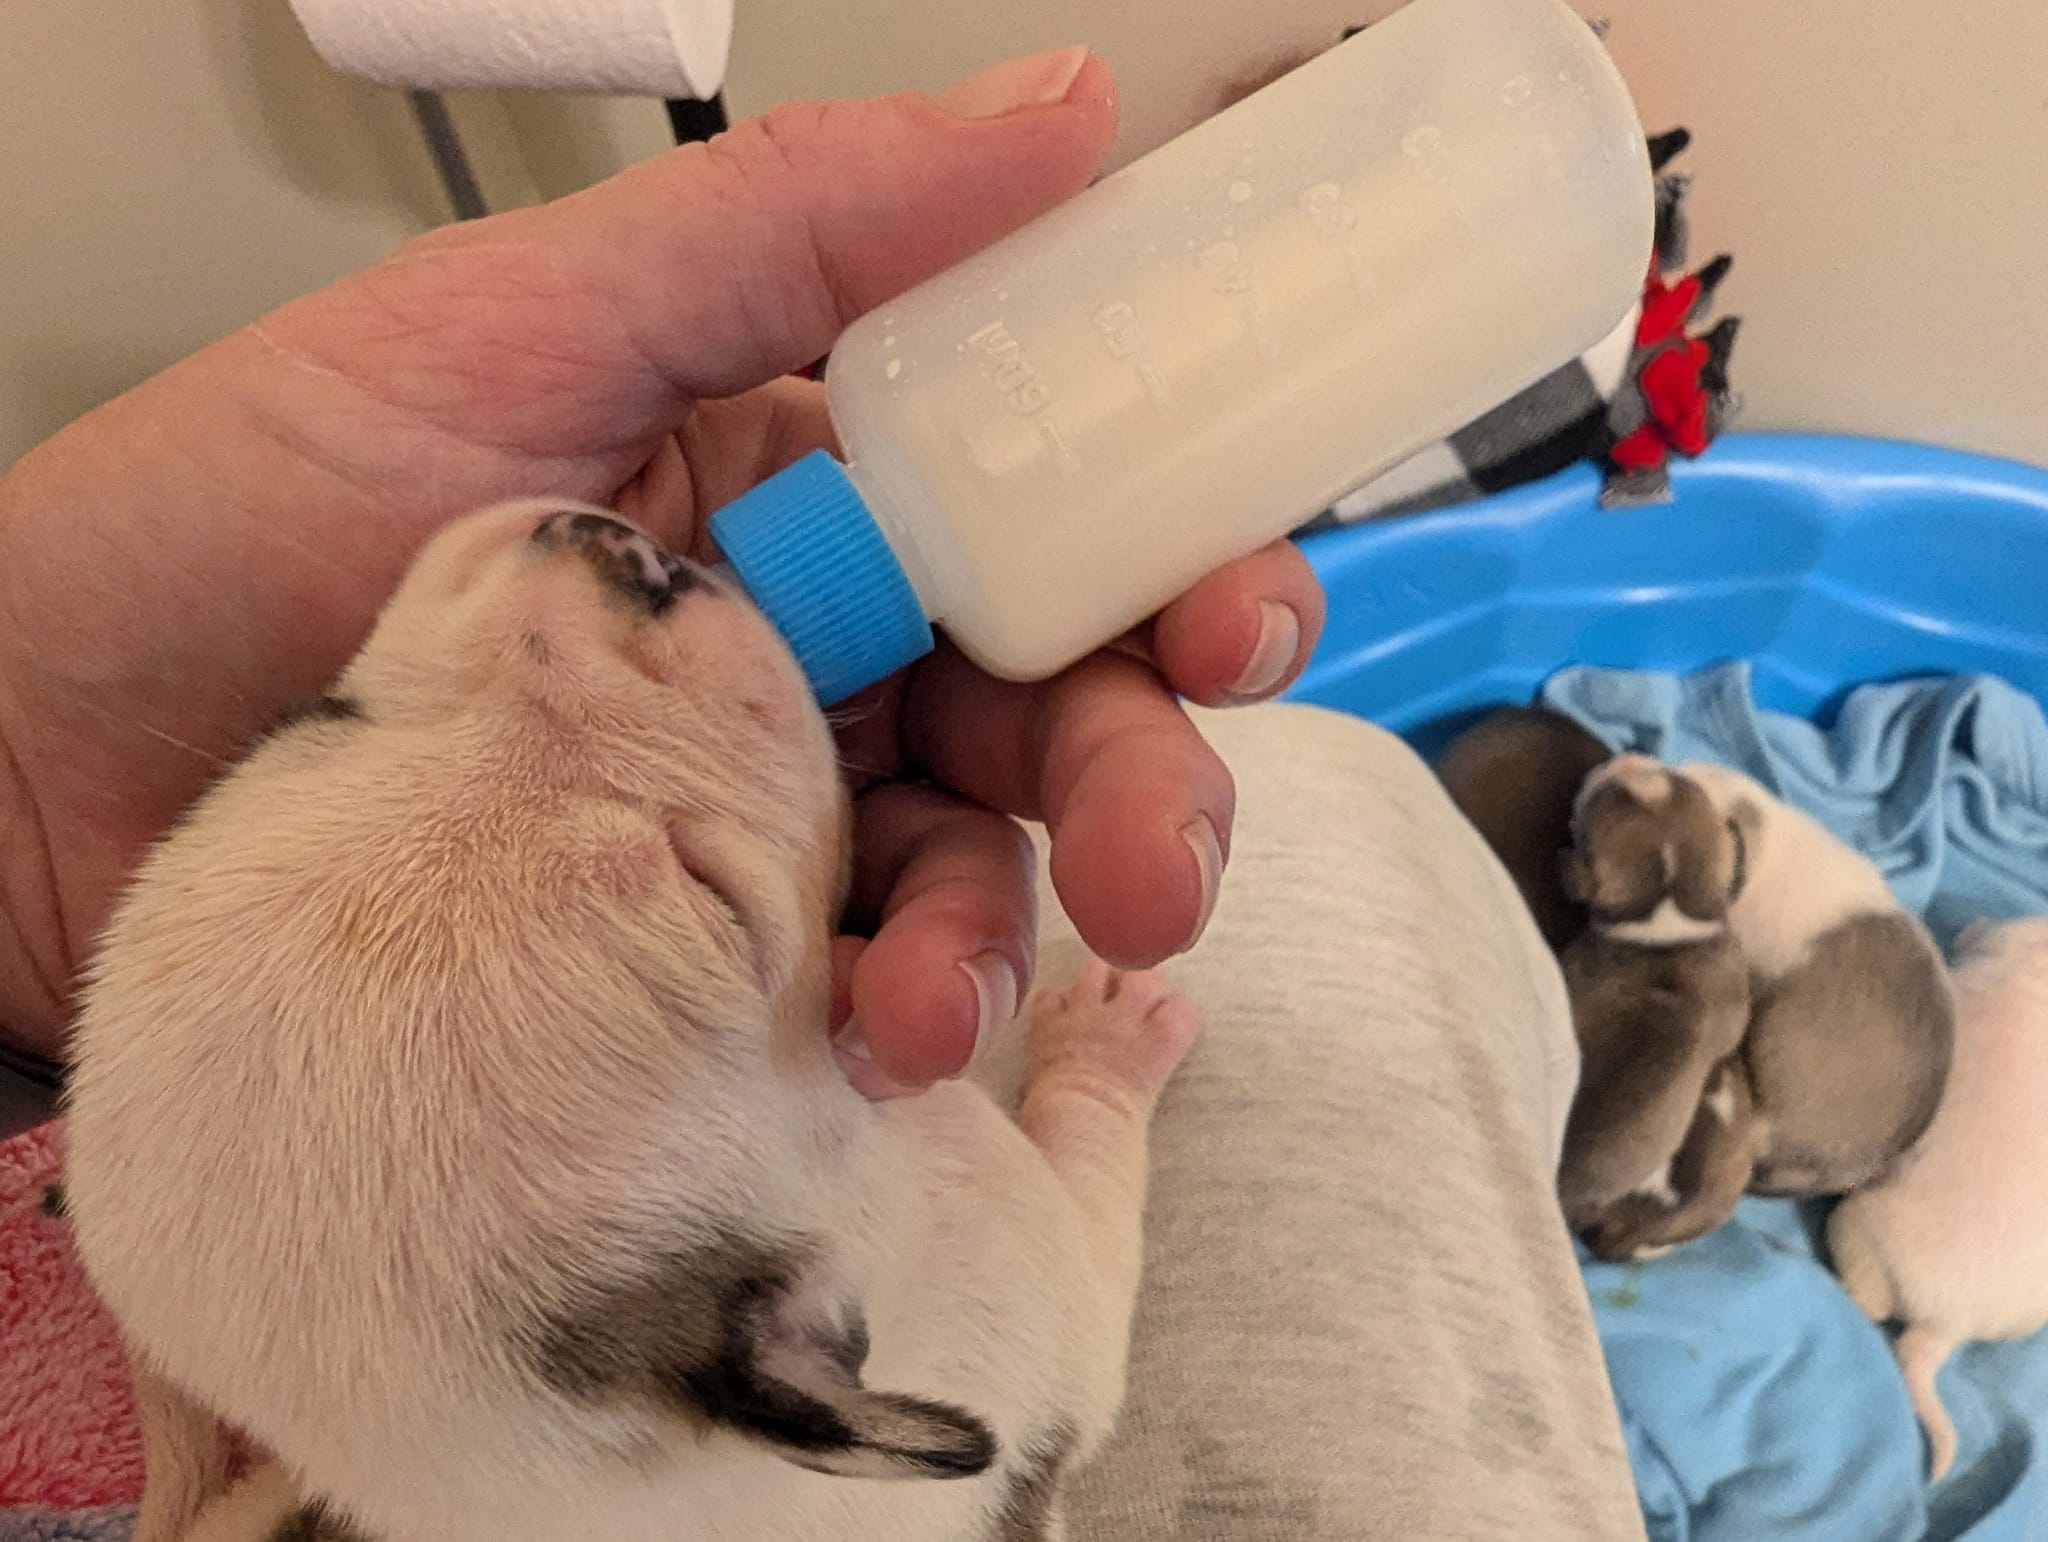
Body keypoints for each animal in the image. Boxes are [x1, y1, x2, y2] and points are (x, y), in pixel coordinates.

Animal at [59, 501, 1196, 1539]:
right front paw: (1113, 1035)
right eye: (711, 895)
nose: (623, 556)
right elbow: (1095, 1209)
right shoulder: (1036, 1269)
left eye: (322, 722)